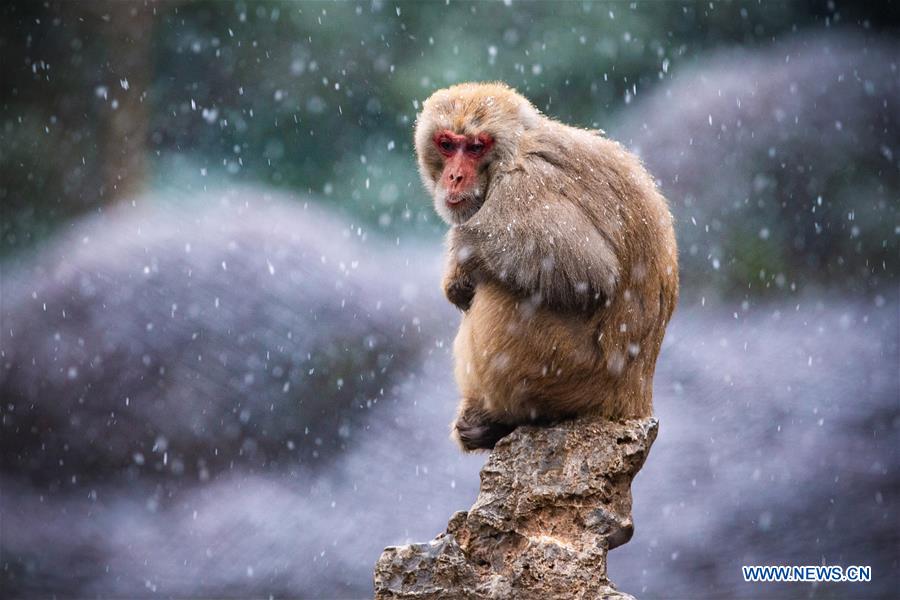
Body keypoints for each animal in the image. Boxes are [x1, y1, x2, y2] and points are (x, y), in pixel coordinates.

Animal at [414, 82, 679, 451]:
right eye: (447, 144)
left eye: (477, 147)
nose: (454, 176)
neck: (515, 150)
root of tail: (634, 401)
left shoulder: (525, 187)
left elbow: (591, 272)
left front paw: (461, 265)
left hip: (565, 371)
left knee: (504, 292)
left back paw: (501, 418)